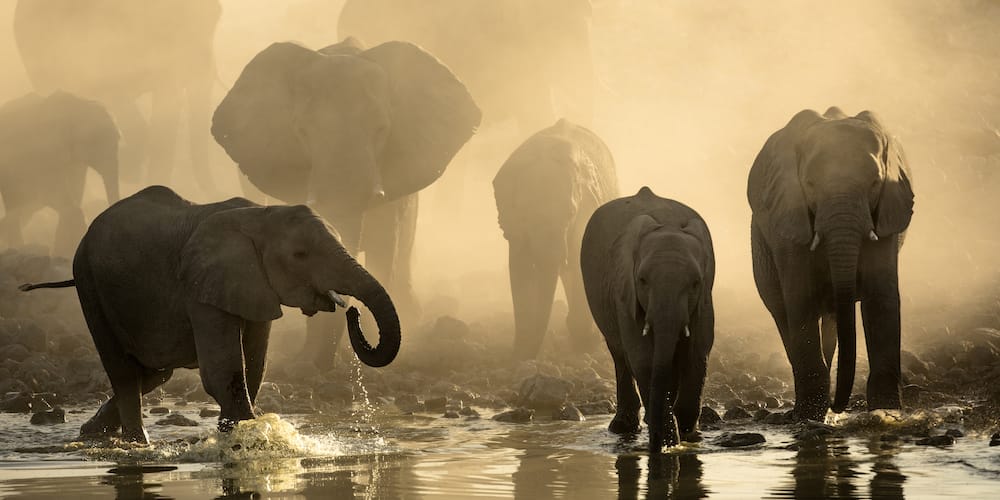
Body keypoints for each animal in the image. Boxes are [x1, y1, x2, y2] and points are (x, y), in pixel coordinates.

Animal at [18, 185, 399, 443]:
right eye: (300, 254)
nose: (352, 311)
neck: (262, 214)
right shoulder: (202, 286)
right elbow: (223, 371)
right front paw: (247, 437)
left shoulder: (253, 286)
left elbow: (255, 366)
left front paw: (237, 434)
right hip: (89, 282)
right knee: (125, 373)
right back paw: (136, 445)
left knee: (153, 373)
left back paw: (90, 434)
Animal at [493, 118, 619, 360]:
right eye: (525, 215)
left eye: (570, 213)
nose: (532, 354)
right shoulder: (514, 224)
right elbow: (520, 266)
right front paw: (520, 353)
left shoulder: (585, 212)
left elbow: (580, 260)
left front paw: (585, 344)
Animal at [580, 187, 715, 452]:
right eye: (642, 280)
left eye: (695, 283)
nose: (655, 446)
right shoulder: (625, 293)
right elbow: (642, 357)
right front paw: (668, 442)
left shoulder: (705, 298)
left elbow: (697, 352)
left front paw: (687, 436)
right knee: (619, 354)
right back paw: (624, 428)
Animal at [748, 107, 914, 421]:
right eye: (810, 185)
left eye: (875, 183)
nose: (839, 406)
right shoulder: (790, 215)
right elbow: (800, 298)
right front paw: (809, 417)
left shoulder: (886, 213)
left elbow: (881, 298)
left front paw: (886, 413)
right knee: (781, 311)